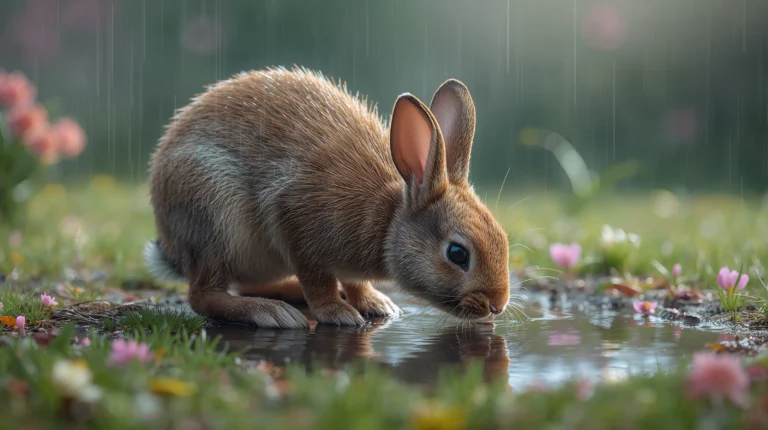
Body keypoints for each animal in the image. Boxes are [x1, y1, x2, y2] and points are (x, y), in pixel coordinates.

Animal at [144, 66, 510, 329]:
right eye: (457, 253)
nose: (498, 305)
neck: (387, 219)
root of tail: (170, 244)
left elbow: (354, 281)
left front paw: (376, 304)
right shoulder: (295, 220)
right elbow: (316, 276)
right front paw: (338, 312)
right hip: (217, 217)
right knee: (203, 294)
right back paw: (272, 313)